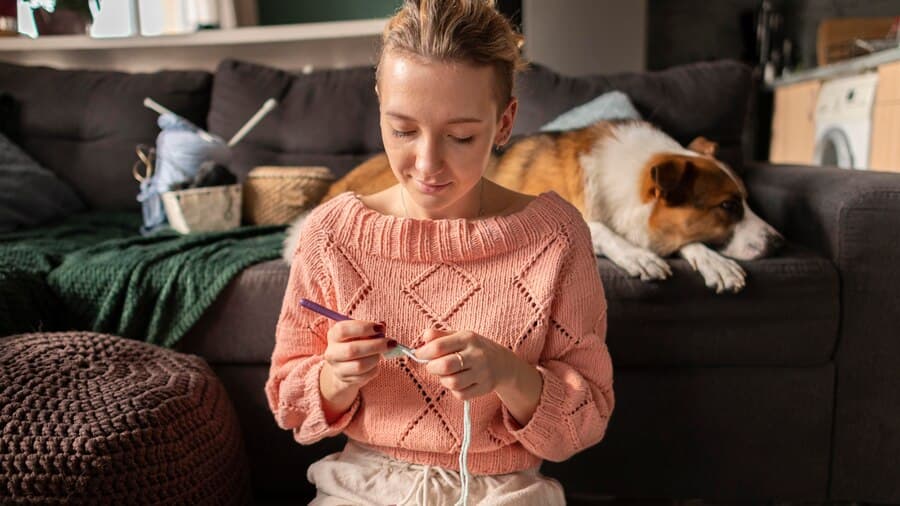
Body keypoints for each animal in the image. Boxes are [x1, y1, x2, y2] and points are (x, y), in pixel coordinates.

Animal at [286, 119, 780, 292]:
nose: (780, 242)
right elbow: (601, 229)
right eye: (728, 206)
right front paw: (637, 256)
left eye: (745, 200)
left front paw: (713, 261)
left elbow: (687, 242)